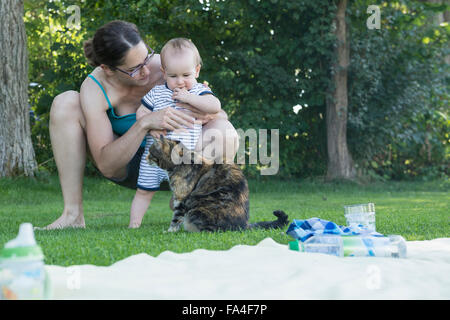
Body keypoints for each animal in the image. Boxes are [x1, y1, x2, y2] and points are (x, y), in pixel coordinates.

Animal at [148, 135, 288, 232]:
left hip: (197, 208)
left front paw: (170, 231)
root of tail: (244, 226)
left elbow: (176, 217)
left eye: (150, 152)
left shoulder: (181, 198)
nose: (145, 157)